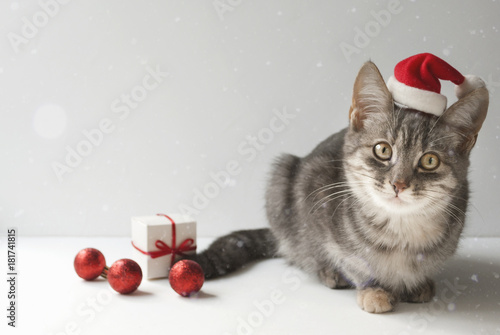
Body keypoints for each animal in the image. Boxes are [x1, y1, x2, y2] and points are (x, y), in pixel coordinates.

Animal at [190, 60, 488, 316]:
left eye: (429, 161)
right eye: (383, 150)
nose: (399, 183)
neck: (401, 230)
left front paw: (417, 283)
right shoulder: (318, 205)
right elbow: (351, 261)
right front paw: (372, 290)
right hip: (281, 179)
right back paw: (327, 272)